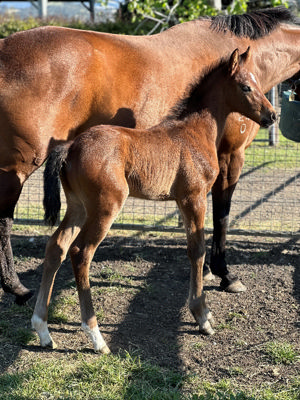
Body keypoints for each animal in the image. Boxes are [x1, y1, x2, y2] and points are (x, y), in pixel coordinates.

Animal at [31, 48, 276, 352]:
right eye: (245, 87)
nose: (272, 115)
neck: (195, 131)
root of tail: (70, 145)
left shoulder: (181, 201)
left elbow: (192, 249)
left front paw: (204, 312)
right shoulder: (194, 197)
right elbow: (197, 250)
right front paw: (202, 316)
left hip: (78, 206)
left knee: (56, 247)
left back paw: (42, 329)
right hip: (105, 206)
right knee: (81, 252)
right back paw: (96, 336)